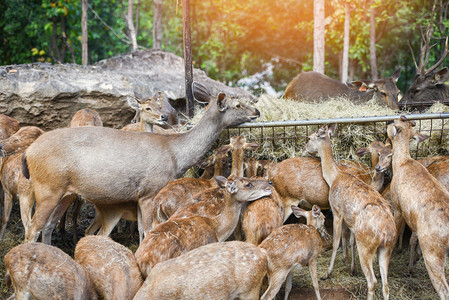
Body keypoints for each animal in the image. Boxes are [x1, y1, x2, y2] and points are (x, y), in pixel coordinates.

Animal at [21, 81, 260, 243]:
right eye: (238, 105)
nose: (257, 111)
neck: (176, 156)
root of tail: (28, 153)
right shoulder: (150, 190)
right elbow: (148, 228)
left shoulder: (139, 196)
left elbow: (141, 229)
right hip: (48, 187)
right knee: (32, 227)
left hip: (65, 192)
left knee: (48, 225)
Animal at [304, 123, 396, 298]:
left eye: (310, 137)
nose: (305, 148)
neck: (334, 177)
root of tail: (387, 232)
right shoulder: (350, 221)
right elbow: (350, 240)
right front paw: (352, 268)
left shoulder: (336, 210)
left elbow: (336, 241)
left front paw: (327, 273)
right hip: (386, 249)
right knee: (386, 284)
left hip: (366, 245)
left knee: (372, 281)